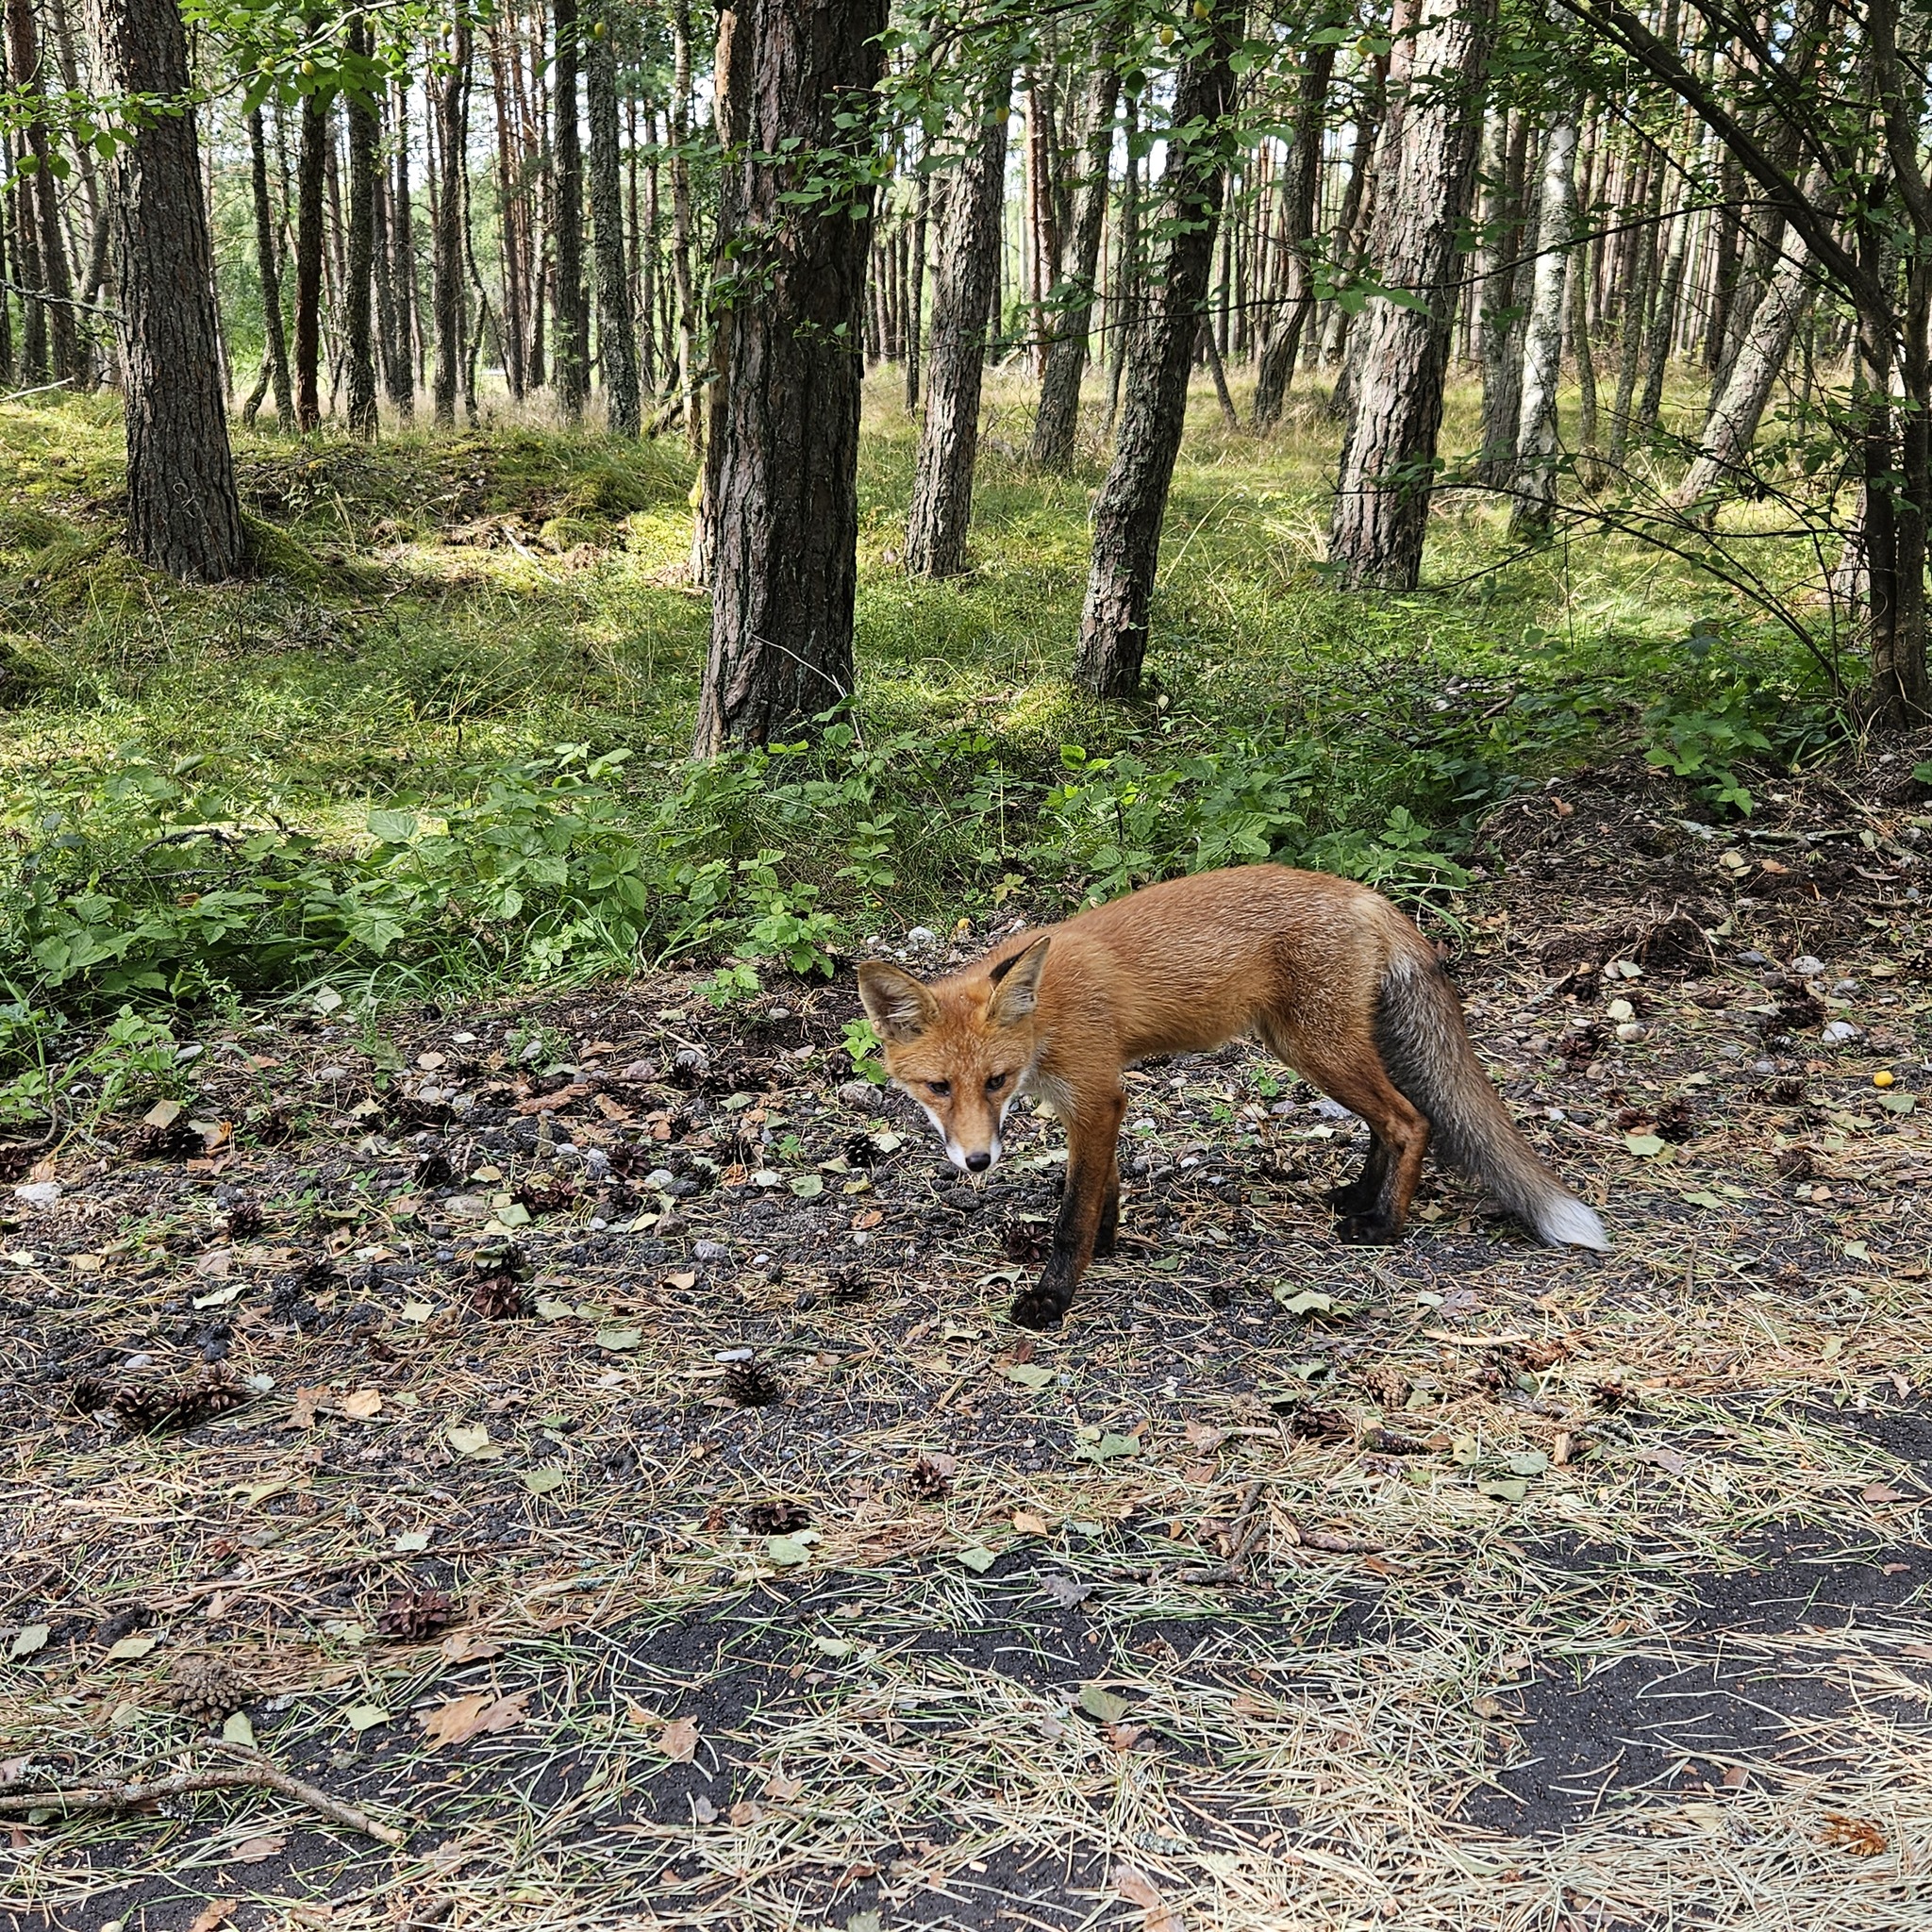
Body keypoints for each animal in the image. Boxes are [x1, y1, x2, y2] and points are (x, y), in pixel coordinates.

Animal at [858, 865, 1599, 1329]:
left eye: (995, 1082)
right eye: (937, 1088)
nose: (977, 1162)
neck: (1046, 1014)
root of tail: (1365, 894)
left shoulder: (1095, 1095)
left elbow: (1074, 1214)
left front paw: (1054, 1296)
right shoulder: (1094, 1103)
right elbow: (1105, 1191)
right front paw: (1111, 1245)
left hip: (1315, 1049)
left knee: (1410, 1119)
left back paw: (1383, 1224)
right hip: (1312, 1047)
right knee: (1385, 1122)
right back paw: (1359, 1195)